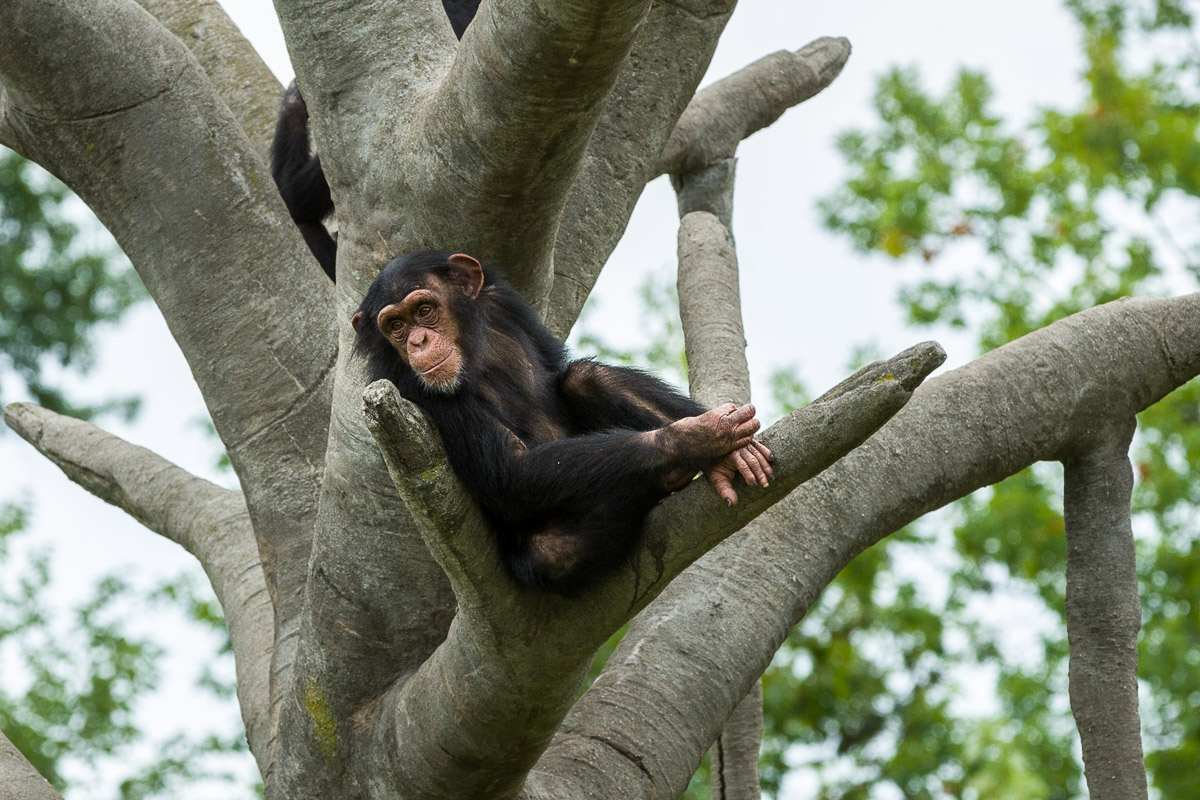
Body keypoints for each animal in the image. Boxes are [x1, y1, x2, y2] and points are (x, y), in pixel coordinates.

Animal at [350, 251, 772, 594]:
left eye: (424, 310)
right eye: (395, 326)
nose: (417, 341)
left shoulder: (504, 301)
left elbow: (559, 370)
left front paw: (725, 446)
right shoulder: (404, 386)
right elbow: (511, 469)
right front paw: (697, 436)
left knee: (584, 377)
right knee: (553, 549)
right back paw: (668, 474)